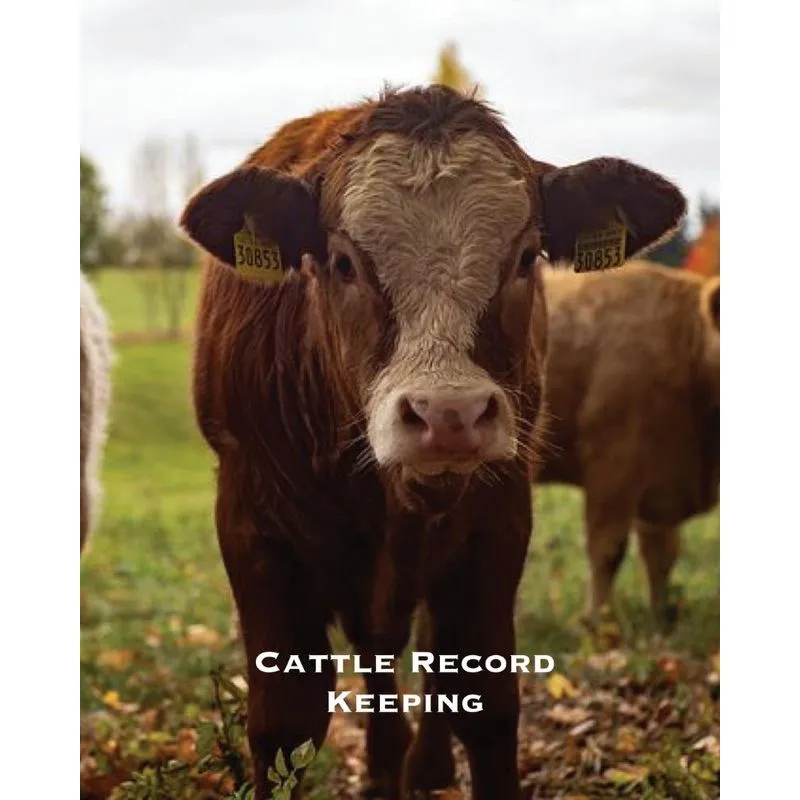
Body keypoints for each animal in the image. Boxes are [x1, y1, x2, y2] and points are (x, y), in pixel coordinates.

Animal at [179, 85, 686, 799]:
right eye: (343, 263)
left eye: (526, 258)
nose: (448, 413)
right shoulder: (252, 524)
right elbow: (285, 722)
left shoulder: (498, 518)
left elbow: (484, 699)